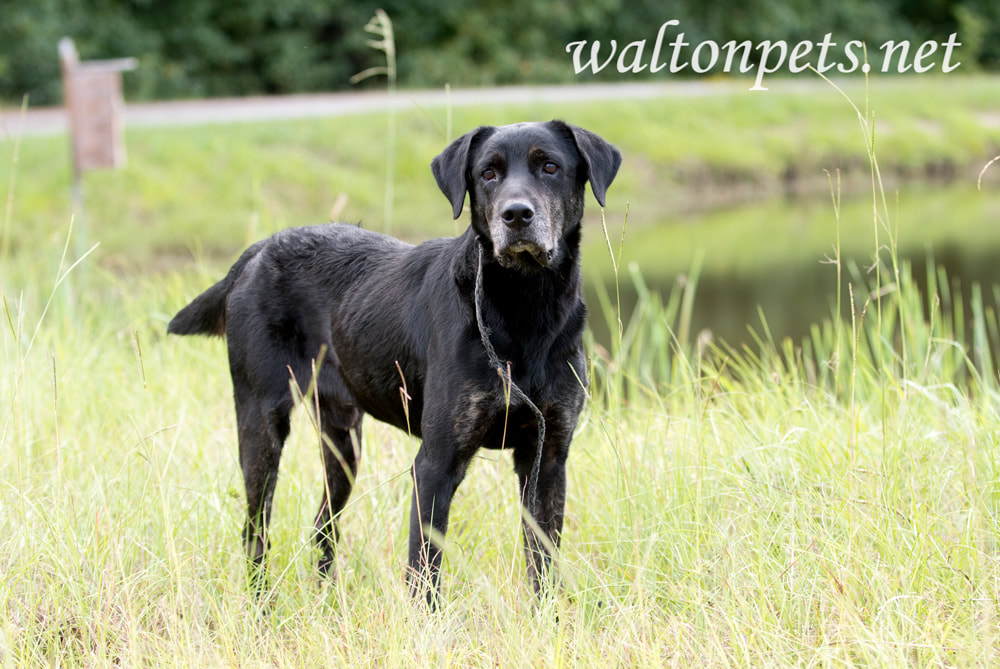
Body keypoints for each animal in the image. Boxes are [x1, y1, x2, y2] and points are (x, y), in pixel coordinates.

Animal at [169, 120, 620, 604]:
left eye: (550, 166)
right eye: (488, 173)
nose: (516, 215)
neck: (524, 309)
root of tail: (256, 252)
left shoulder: (547, 457)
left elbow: (543, 562)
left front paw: (547, 615)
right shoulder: (436, 463)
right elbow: (424, 569)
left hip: (343, 442)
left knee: (323, 525)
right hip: (261, 422)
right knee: (256, 528)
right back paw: (260, 605)